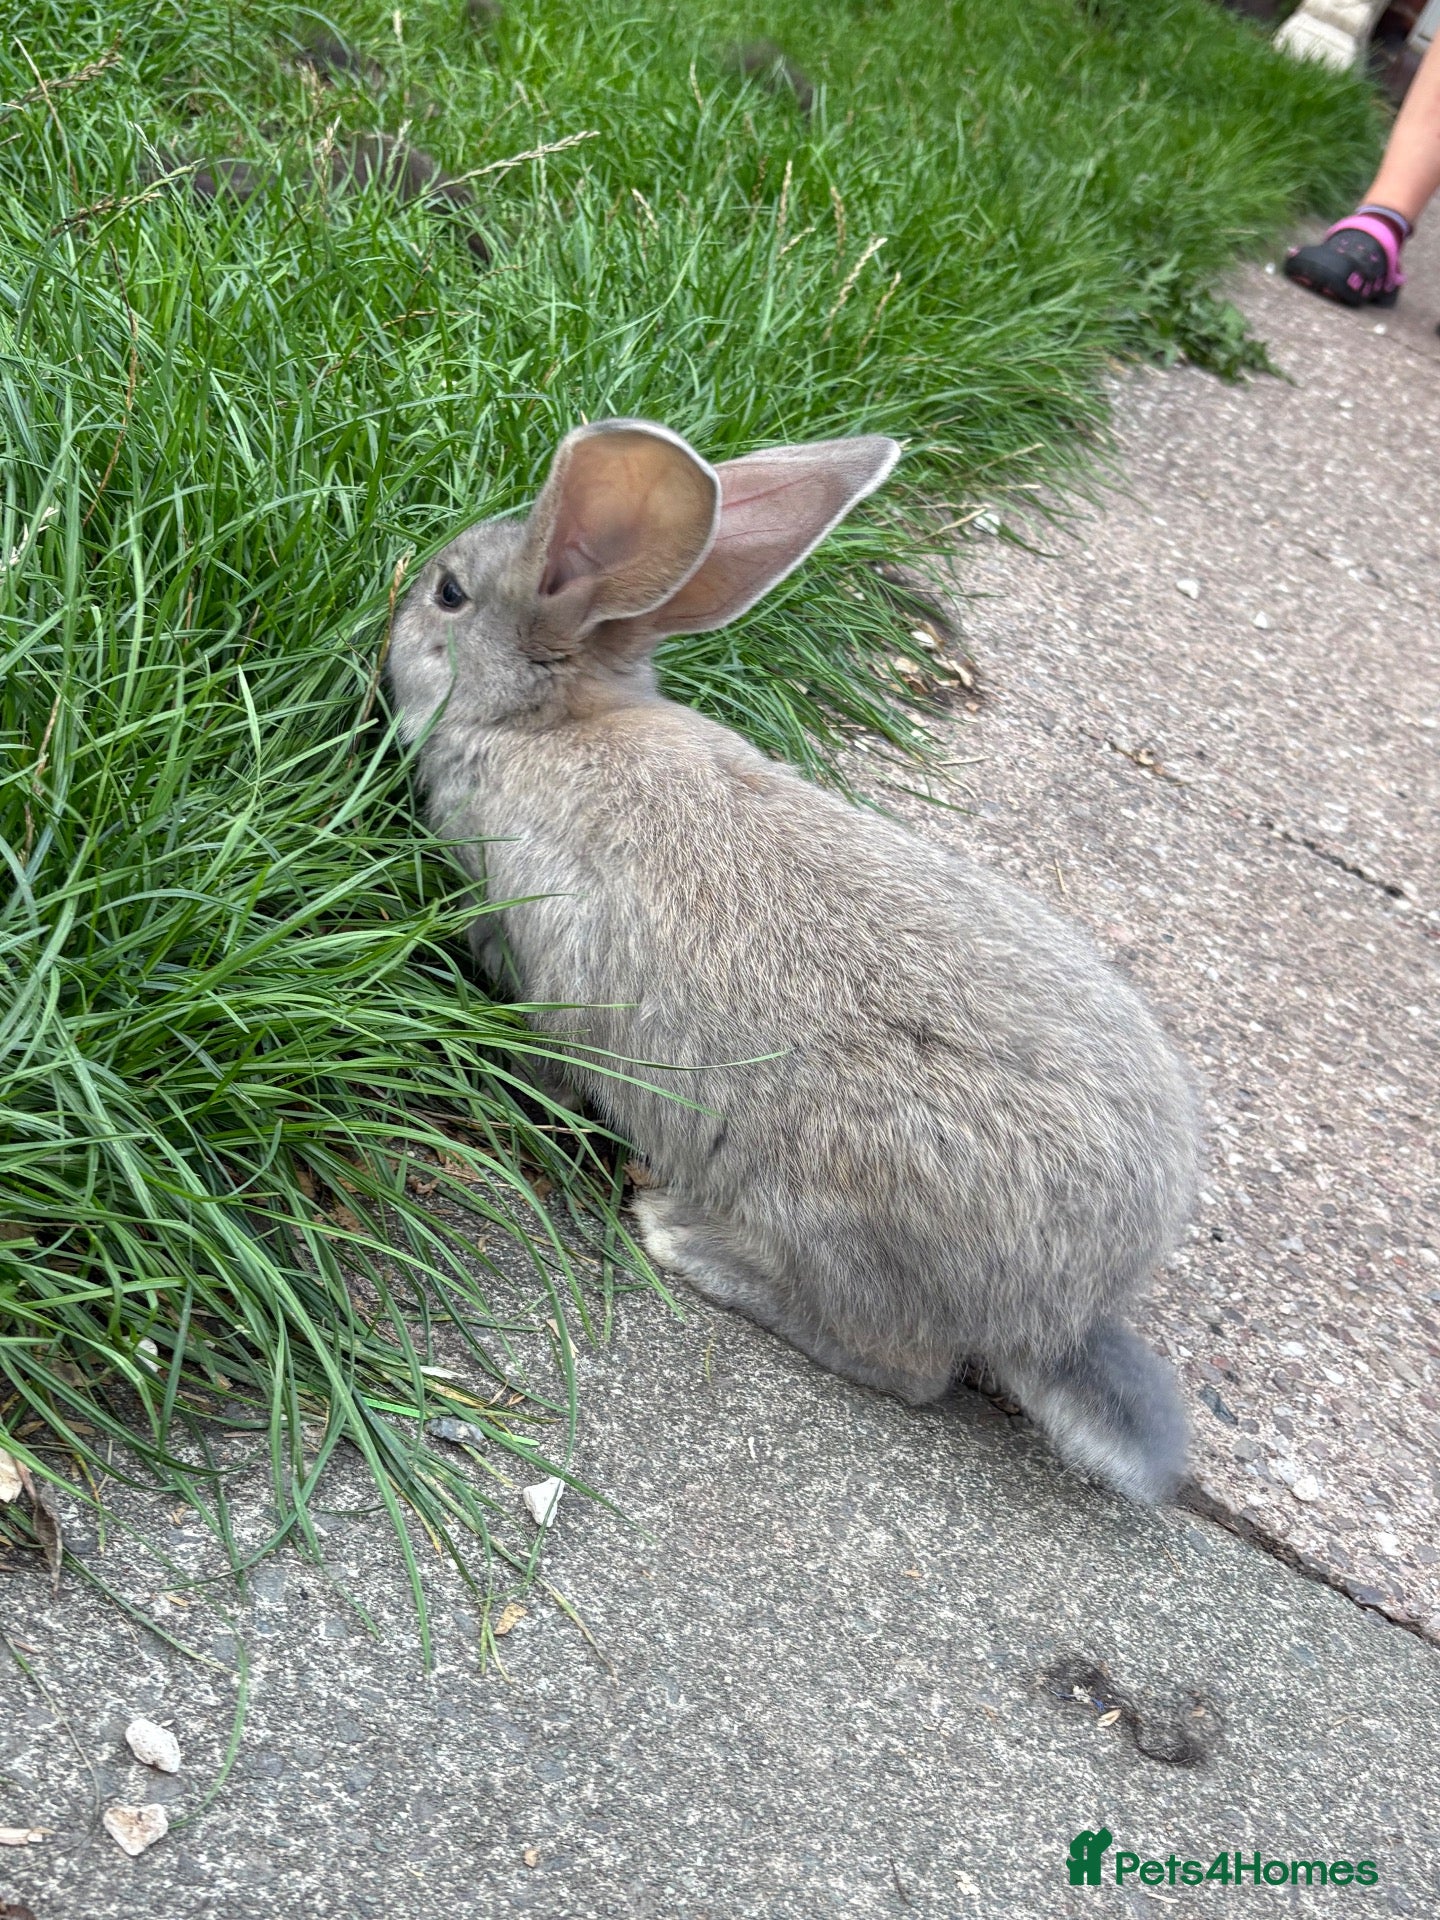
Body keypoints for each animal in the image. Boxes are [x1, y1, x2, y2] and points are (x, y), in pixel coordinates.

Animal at [386, 419, 1201, 1503]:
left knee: (906, 1366)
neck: (545, 723)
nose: (389, 615)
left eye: (449, 593)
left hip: (840, 1215)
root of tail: (1064, 1312)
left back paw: (685, 1241)